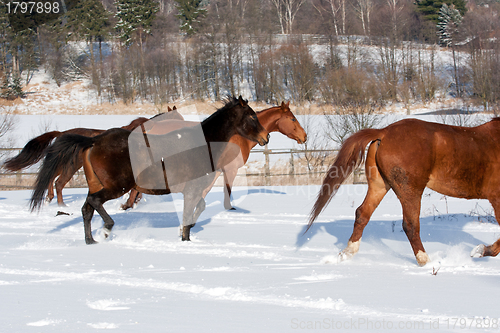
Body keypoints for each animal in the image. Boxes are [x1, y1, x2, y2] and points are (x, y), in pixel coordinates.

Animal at [2, 106, 183, 205]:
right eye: (178, 117)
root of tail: (61, 134)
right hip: (70, 166)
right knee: (57, 182)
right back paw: (60, 205)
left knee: (51, 177)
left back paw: (50, 199)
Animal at [29, 97, 272, 243]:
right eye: (252, 116)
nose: (266, 137)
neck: (203, 144)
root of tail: (94, 140)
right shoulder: (192, 189)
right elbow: (189, 213)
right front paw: (185, 238)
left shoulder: (194, 190)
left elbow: (198, 209)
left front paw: (186, 233)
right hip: (117, 186)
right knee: (95, 202)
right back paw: (107, 229)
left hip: (97, 184)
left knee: (86, 209)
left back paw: (91, 241)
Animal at [121, 101, 308, 210]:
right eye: (292, 119)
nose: (304, 136)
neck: (238, 135)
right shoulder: (230, 169)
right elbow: (226, 191)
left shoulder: (216, 171)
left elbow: (204, 192)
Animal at [306, 116, 500, 264]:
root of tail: (384, 132)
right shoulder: (496, 198)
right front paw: (481, 250)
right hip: (410, 191)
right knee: (410, 225)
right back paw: (425, 261)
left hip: (379, 186)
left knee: (362, 214)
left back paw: (347, 253)